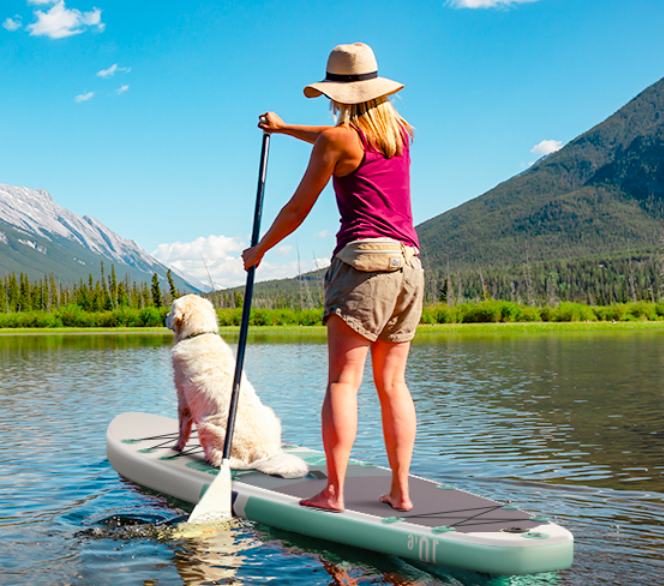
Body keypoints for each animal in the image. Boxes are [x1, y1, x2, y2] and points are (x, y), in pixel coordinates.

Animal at [167, 294, 310, 476]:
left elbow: (182, 429)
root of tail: (264, 454)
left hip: (206, 427)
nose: (164, 317)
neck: (199, 334)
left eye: (171, 309)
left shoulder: (183, 398)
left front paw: (177, 447)